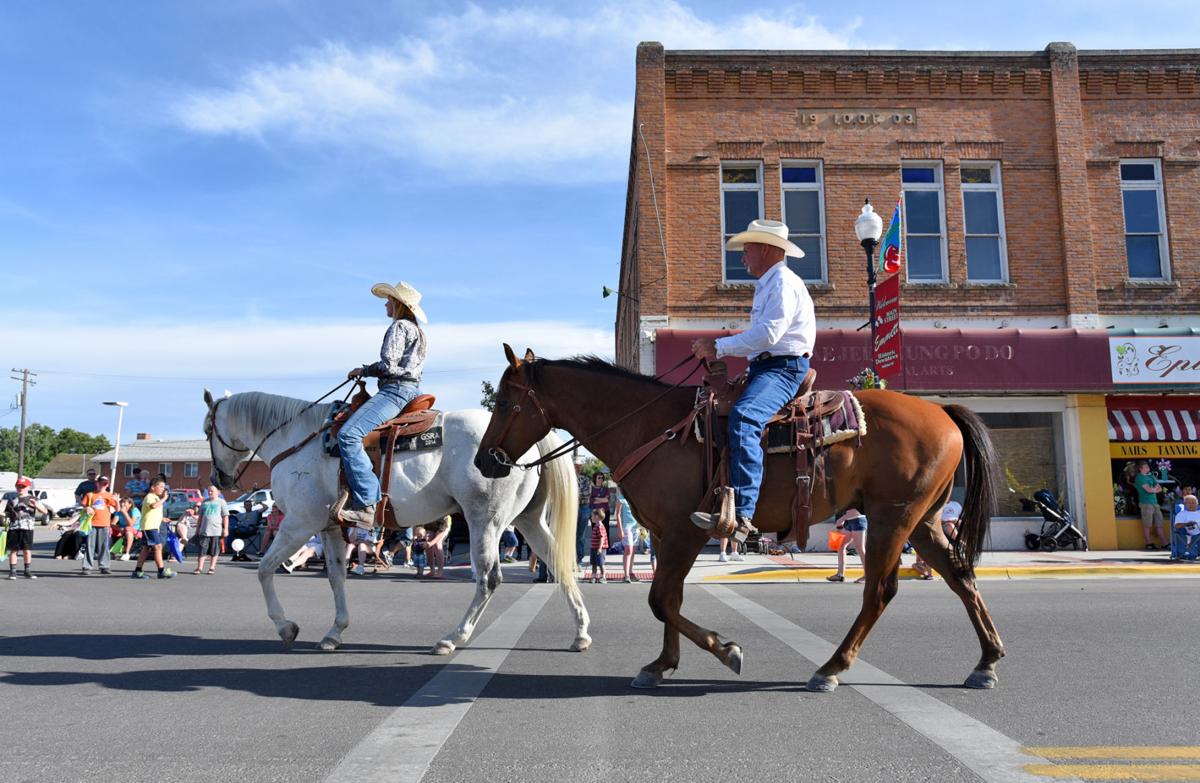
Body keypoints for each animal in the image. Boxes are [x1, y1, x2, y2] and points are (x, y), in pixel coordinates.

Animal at [201, 389, 585, 653]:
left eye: (207, 429)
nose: (219, 478)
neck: (297, 441)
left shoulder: (298, 522)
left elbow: (265, 569)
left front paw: (286, 627)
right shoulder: (329, 527)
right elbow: (337, 577)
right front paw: (334, 632)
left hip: (485, 521)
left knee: (489, 579)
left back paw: (452, 637)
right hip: (528, 520)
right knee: (560, 563)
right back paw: (581, 632)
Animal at [472, 348, 1008, 691]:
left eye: (507, 403)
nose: (483, 460)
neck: (649, 427)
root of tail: (942, 411)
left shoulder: (685, 532)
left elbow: (659, 599)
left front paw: (725, 650)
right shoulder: (667, 535)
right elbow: (669, 599)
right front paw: (662, 664)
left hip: (890, 518)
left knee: (880, 591)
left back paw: (831, 668)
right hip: (924, 520)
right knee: (961, 576)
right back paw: (986, 661)